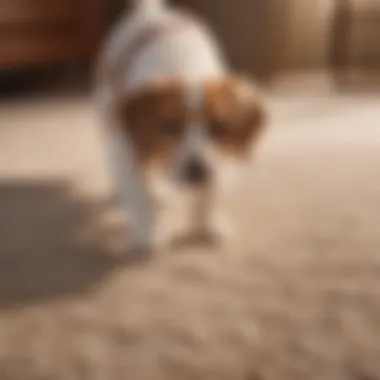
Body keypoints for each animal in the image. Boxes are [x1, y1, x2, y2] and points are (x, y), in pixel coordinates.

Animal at [95, 0, 268, 254]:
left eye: (219, 126)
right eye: (169, 126)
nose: (196, 171)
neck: (186, 66)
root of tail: (150, 11)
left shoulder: (216, 162)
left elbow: (210, 193)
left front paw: (207, 226)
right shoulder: (128, 149)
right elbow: (140, 195)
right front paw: (149, 234)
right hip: (106, 117)